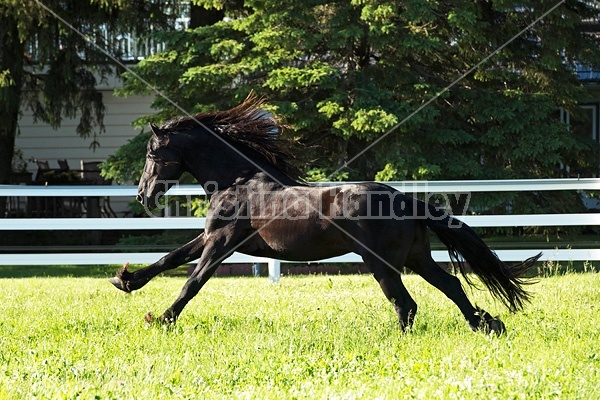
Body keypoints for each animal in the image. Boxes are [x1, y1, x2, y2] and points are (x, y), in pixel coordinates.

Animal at [109, 94, 540, 334]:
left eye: (153, 154)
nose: (143, 195)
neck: (238, 180)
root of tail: (406, 200)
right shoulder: (210, 237)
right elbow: (169, 259)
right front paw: (125, 281)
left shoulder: (222, 241)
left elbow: (192, 281)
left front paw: (161, 320)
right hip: (417, 257)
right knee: (449, 285)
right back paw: (487, 325)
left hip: (382, 263)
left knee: (406, 303)